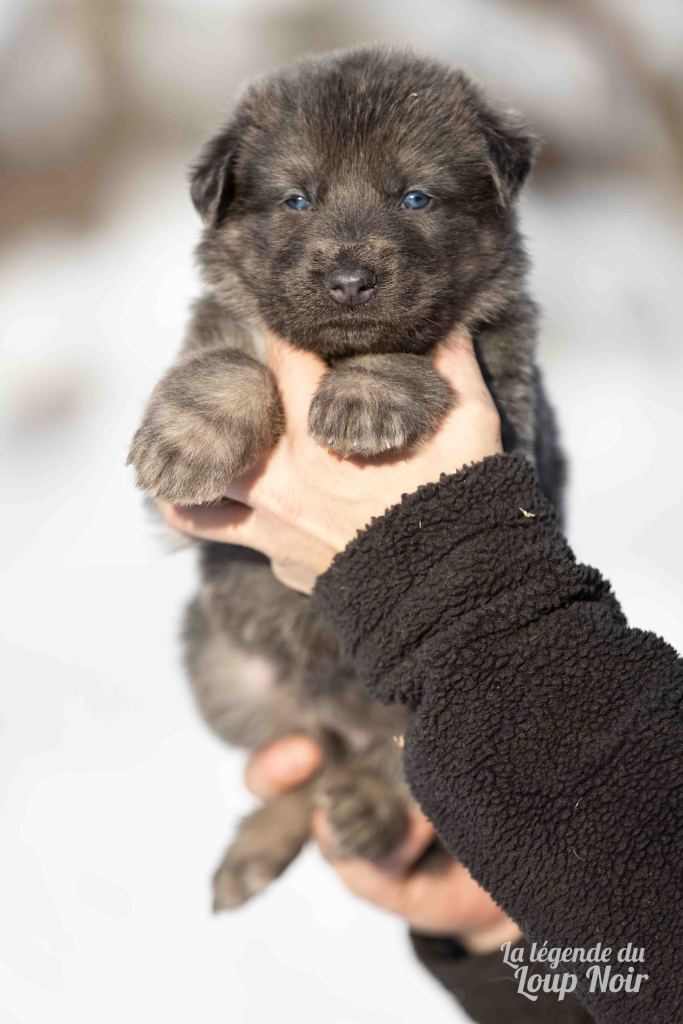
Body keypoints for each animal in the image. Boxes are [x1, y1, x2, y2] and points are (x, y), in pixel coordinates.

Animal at [128, 47, 564, 909]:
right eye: (297, 199)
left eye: (414, 197)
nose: (351, 281)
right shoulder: (220, 332)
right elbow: (227, 359)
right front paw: (187, 438)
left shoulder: (508, 401)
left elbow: (410, 344)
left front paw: (367, 395)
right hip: (222, 666)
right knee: (302, 762)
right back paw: (259, 845)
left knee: (401, 763)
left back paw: (366, 803)